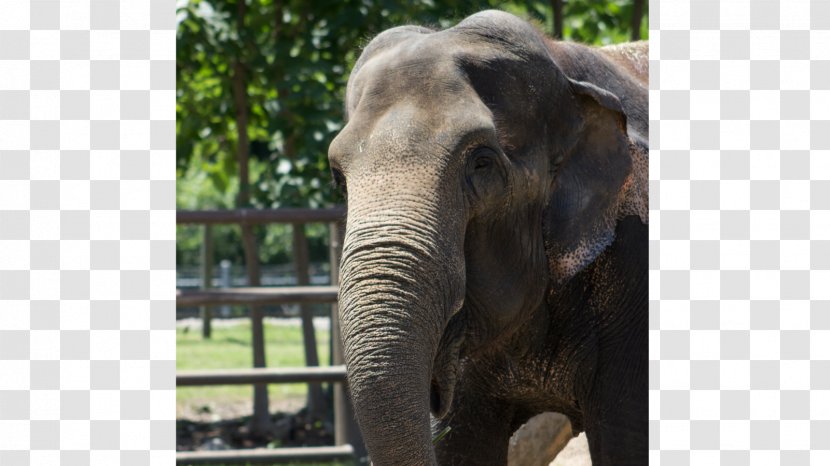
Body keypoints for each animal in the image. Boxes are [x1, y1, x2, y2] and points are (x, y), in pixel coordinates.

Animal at [330, 10, 648, 466]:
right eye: (337, 177)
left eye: (481, 163)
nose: (434, 395)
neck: (563, 65)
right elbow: (462, 447)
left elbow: (627, 440)